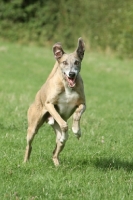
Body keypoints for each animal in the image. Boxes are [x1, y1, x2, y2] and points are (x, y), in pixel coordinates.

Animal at [23, 37, 86, 166]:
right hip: (33, 127)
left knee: (55, 152)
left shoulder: (83, 103)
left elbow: (77, 114)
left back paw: (57, 164)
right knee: (29, 144)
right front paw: (66, 133)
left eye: (77, 62)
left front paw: (77, 131)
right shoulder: (50, 104)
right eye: (64, 62)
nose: (72, 74)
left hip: (54, 128)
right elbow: (64, 124)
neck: (67, 86)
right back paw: (25, 161)